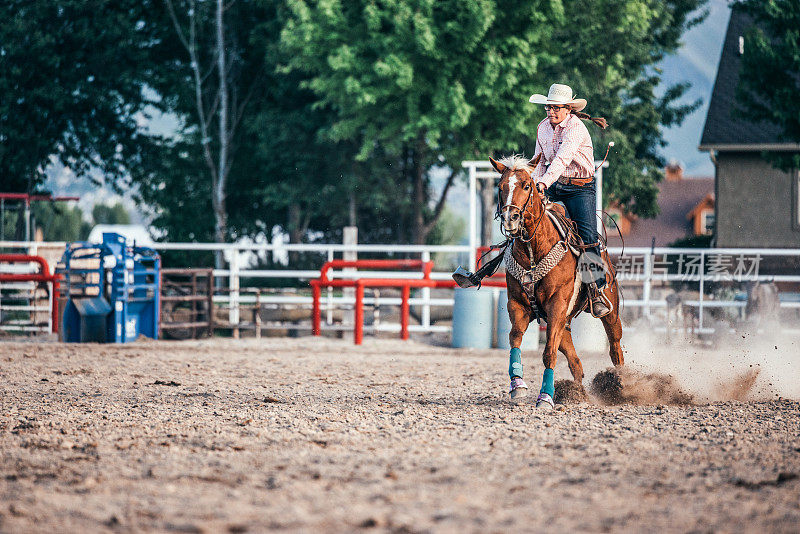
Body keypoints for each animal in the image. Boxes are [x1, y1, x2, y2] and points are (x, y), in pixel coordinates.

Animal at [488, 155, 624, 410]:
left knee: (615, 347)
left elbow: (548, 353)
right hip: (564, 322)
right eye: (500, 188)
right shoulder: (518, 305)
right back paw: (577, 393)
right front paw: (517, 385)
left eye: (527, 186)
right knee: (575, 361)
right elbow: (514, 339)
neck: (533, 249)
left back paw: (622, 383)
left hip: (610, 311)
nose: (510, 218)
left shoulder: (557, 305)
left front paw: (545, 397)